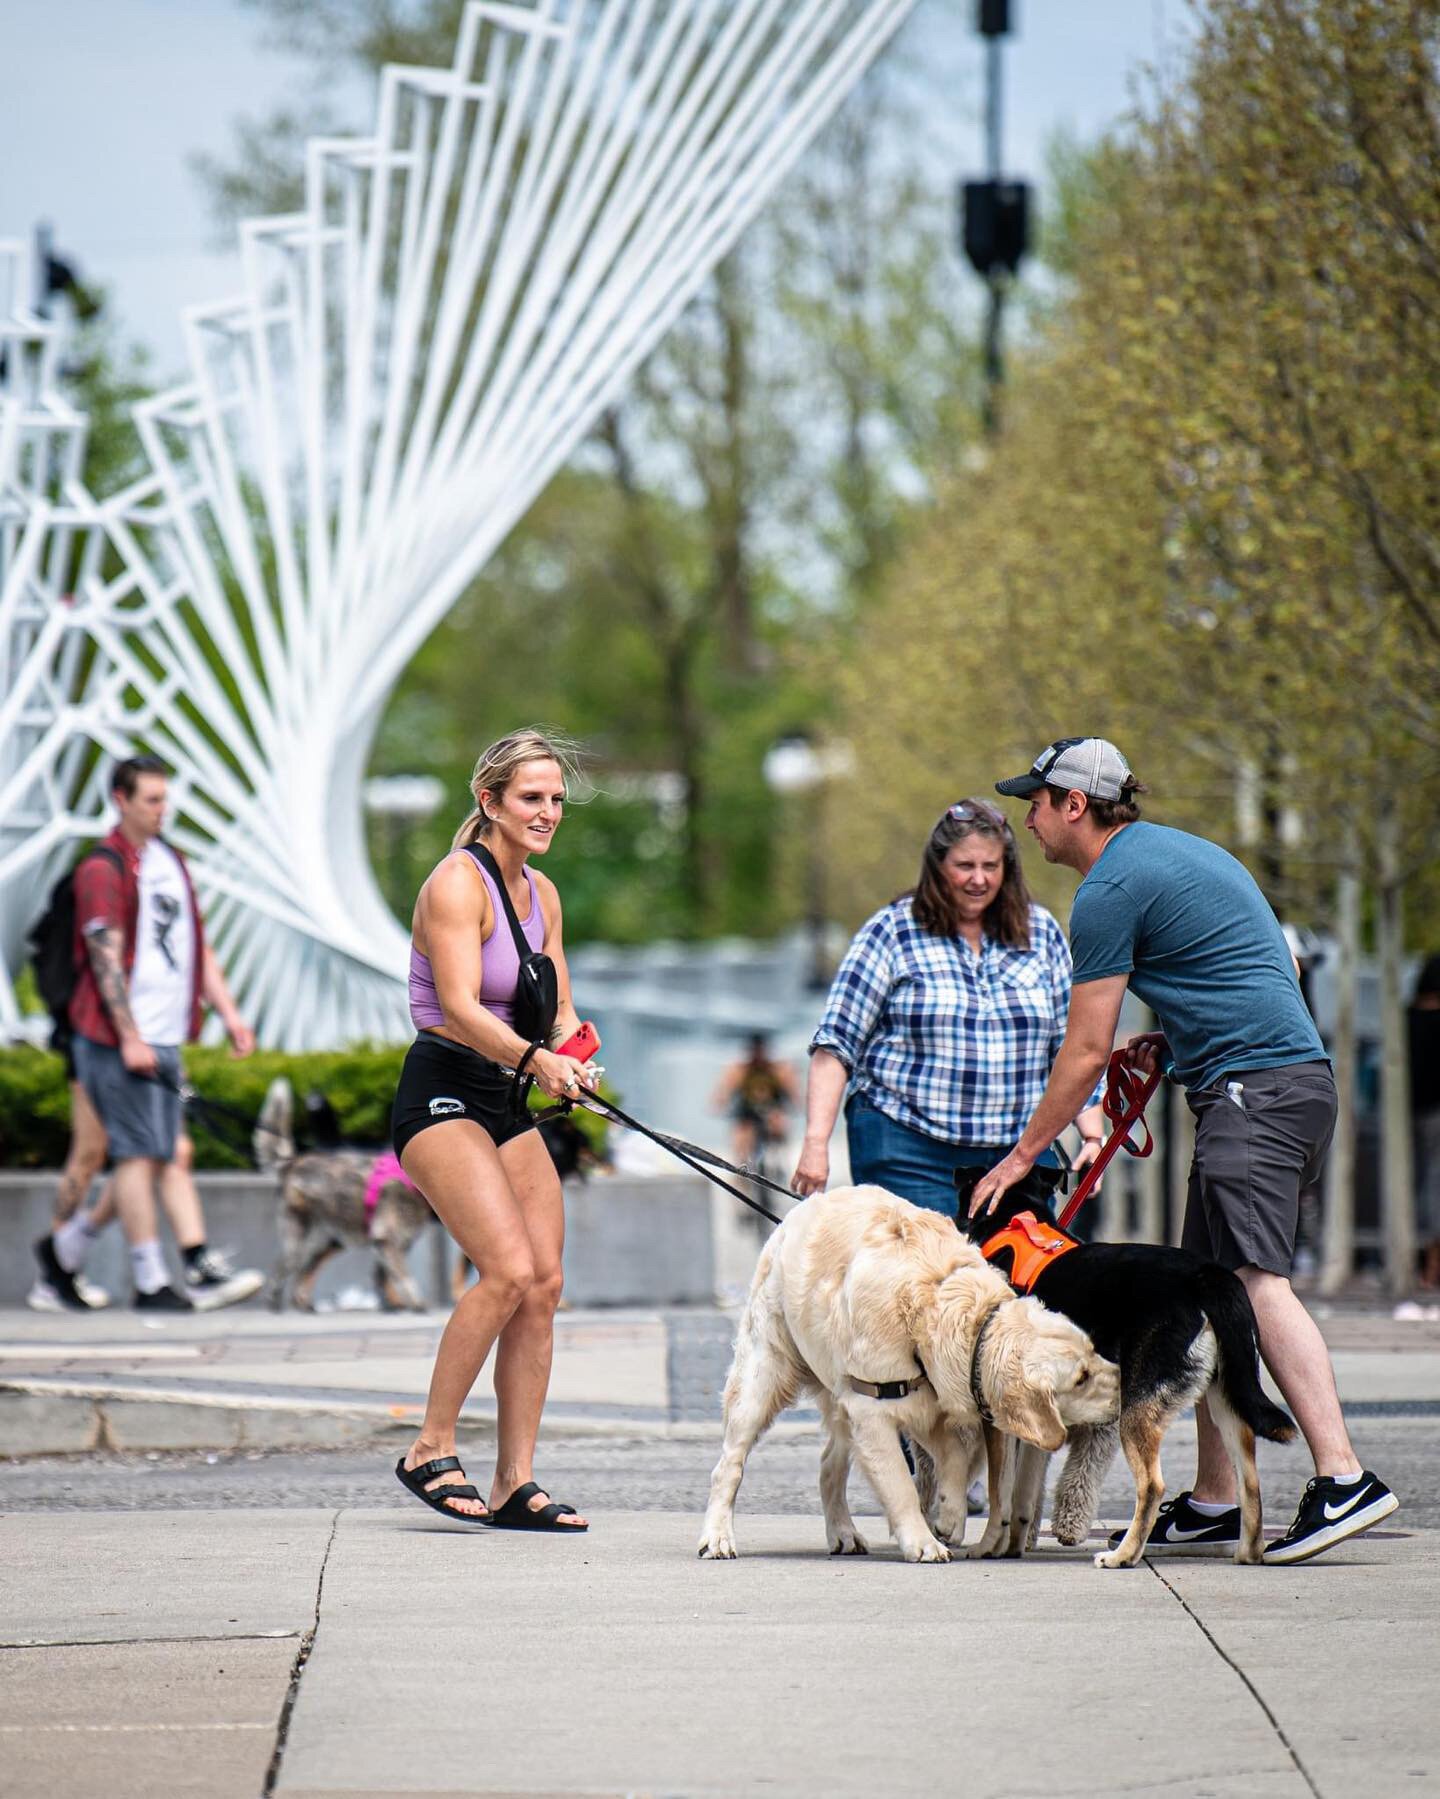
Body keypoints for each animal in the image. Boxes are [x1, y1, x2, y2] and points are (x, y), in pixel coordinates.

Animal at [702, 1180, 1116, 1561]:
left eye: (1094, 1351)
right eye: (1080, 1378)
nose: (1124, 1384)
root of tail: (809, 1204)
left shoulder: (942, 1405)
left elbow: (959, 1461)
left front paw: (950, 1517)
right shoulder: (874, 1409)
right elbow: (901, 1484)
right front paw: (923, 1542)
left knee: (828, 1465)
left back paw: (844, 1532)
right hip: (762, 1378)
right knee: (729, 1464)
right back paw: (718, 1536)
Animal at [950, 1172, 1296, 1568]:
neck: (1017, 1217)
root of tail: (1206, 1277)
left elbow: (1002, 1494)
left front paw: (988, 1546)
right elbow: (1025, 1493)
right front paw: (1016, 1543)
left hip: (1138, 1407)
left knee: (1152, 1485)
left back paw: (1123, 1555)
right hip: (1228, 1399)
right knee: (1249, 1481)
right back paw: (1248, 1553)